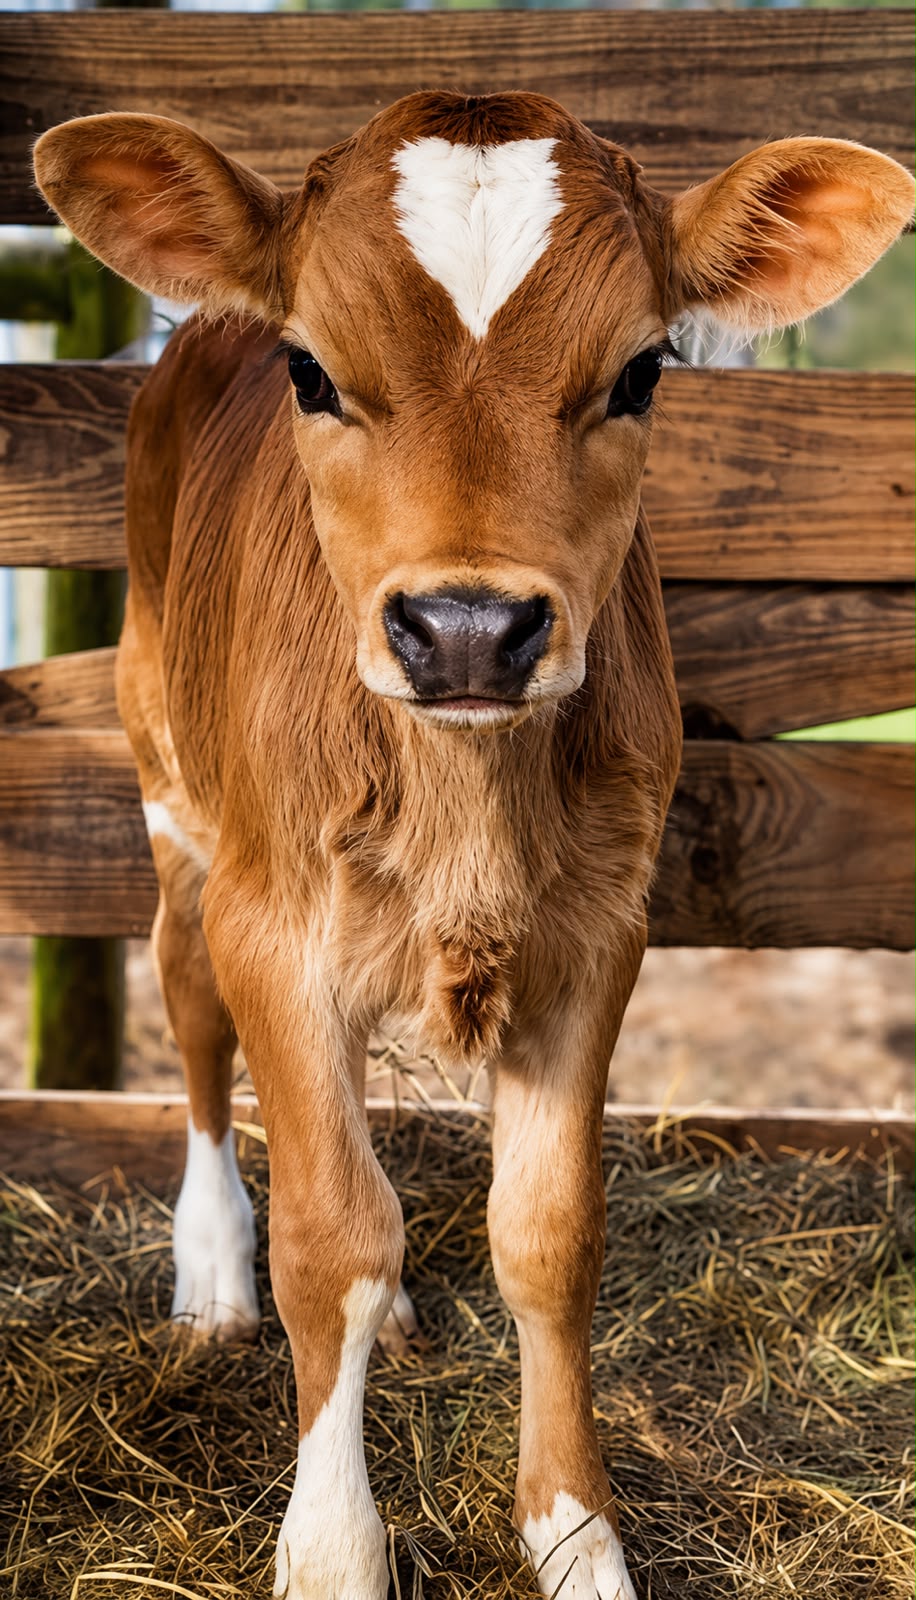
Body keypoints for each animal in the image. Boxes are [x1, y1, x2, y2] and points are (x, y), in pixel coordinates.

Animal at [34, 91, 915, 1600]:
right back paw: (211, 1268)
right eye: (311, 371)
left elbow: (546, 1234)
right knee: (193, 1011)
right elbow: (326, 1238)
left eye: (640, 374)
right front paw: (333, 1548)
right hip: (167, 777)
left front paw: (573, 1531)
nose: (464, 629)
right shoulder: (275, 924)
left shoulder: (600, 932)